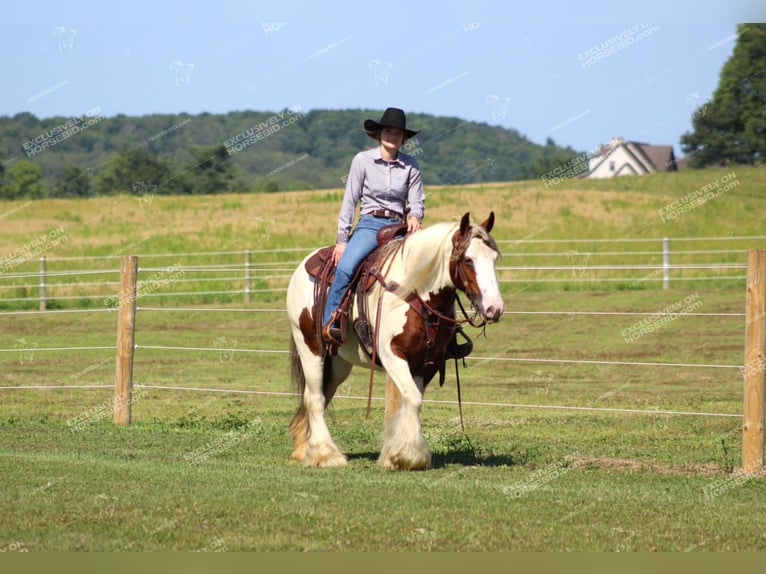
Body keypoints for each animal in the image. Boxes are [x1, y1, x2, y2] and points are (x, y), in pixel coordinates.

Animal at [284, 213, 508, 472]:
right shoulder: (392, 354)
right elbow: (411, 398)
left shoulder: (428, 362)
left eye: (494, 258)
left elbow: (411, 400)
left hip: (338, 361)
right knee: (314, 398)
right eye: (468, 260)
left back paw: (305, 448)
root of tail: (304, 264)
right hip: (310, 348)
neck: (417, 291)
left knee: (322, 392)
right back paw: (325, 454)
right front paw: (408, 456)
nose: (494, 308)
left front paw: (395, 454)